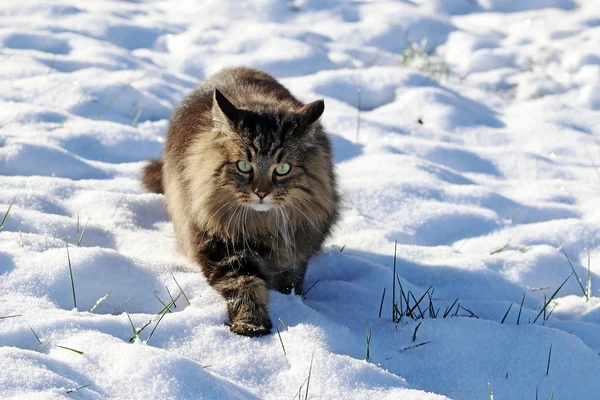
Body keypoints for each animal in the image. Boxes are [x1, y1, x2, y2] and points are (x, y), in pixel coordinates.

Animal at [140, 67, 338, 336]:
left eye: (283, 169)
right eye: (244, 166)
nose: (262, 193)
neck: (263, 226)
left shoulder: (296, 248)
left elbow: (290, 281)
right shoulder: (222, 247)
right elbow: (245, 285)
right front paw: (251, 324)